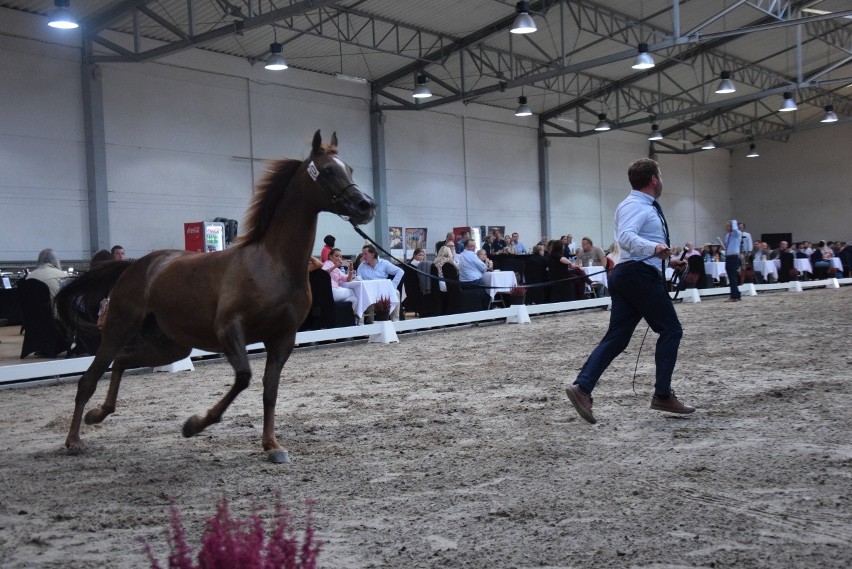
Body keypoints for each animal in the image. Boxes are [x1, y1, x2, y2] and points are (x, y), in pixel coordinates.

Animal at [53, 132, 372, 462]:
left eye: (349, 168)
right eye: (327, 170)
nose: (365, 205)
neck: (273, 263)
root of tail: (136, 265)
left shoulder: (283, 338)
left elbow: (269, 390)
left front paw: (272, 445)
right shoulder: (229, 330)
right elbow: (243, 377)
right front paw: (194, 425)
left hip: (172, 346)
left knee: (122, 361)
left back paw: (98, 414)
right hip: (119, 328)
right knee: (89, 378)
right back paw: (74, 438)